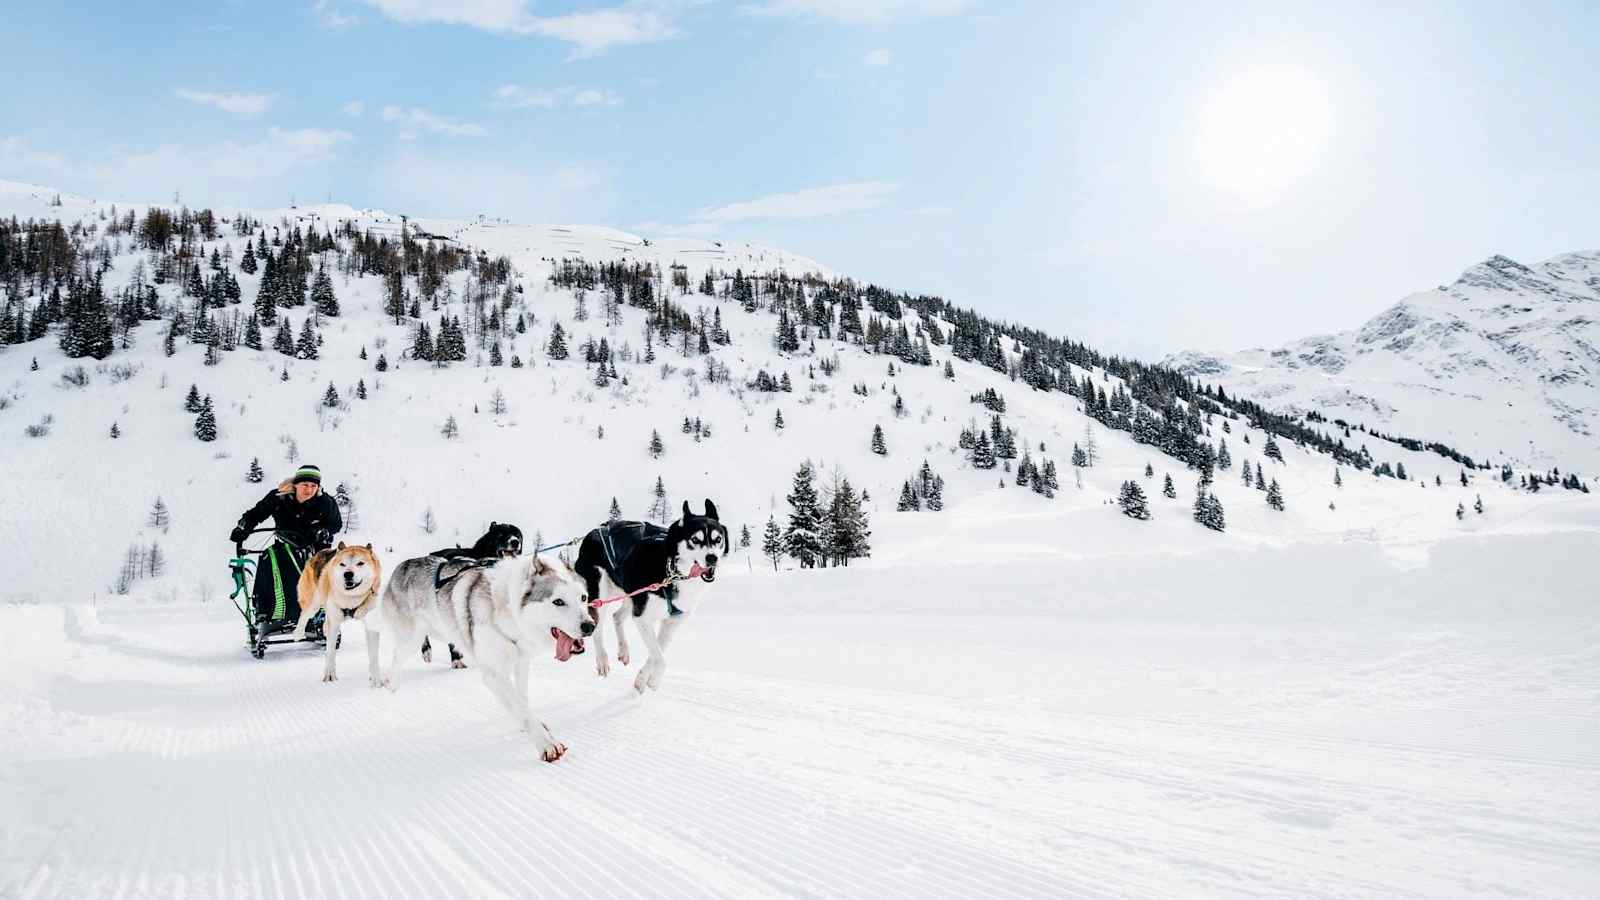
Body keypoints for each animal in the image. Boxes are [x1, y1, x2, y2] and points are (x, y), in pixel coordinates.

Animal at [294, 538, 384, 679]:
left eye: (360, 563)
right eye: (343, 564)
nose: (348, 574)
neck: (351, 598)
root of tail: (320, 552)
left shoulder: (371, 623)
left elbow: (374, 655)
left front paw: (375, 677)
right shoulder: (334, 622)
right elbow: (330, 652)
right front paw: (330, 675)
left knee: (324, 618)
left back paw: (323, 628)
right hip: (314, 601)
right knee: (305, 614)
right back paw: (298, 633)